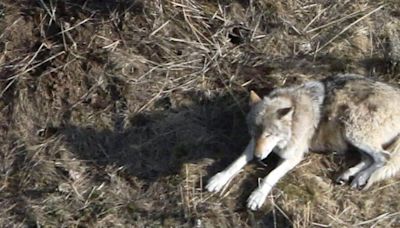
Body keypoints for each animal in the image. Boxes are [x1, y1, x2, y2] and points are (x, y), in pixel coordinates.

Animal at [208, 74, 400, 210]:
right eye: (254, 134)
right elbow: (236, 162)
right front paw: (218, 179)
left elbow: (271, 175)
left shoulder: (293, 157)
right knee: (369, 159)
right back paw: (350, 175)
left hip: (352, 129)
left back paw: (361, 178)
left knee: (384, 157)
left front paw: (257, 196)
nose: (257, 158)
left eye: (270, 134)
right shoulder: (254, 145)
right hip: (350, 136)